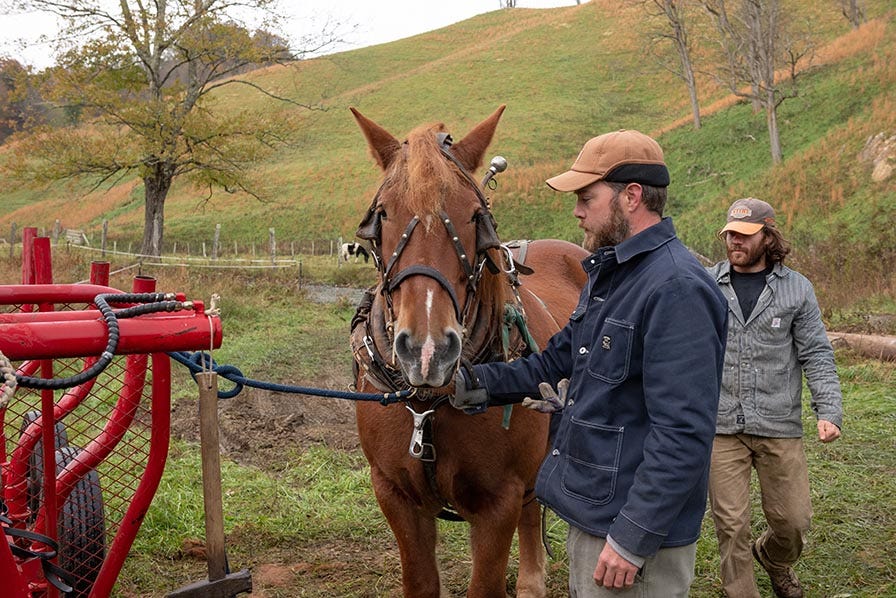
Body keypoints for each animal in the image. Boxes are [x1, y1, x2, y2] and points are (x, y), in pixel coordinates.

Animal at [348, 108, 588, 598]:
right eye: (383, 215)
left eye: (476, 216)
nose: (427, 351)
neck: (428, 406)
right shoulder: (394, 496)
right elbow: (421, 584)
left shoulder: (497, 503)